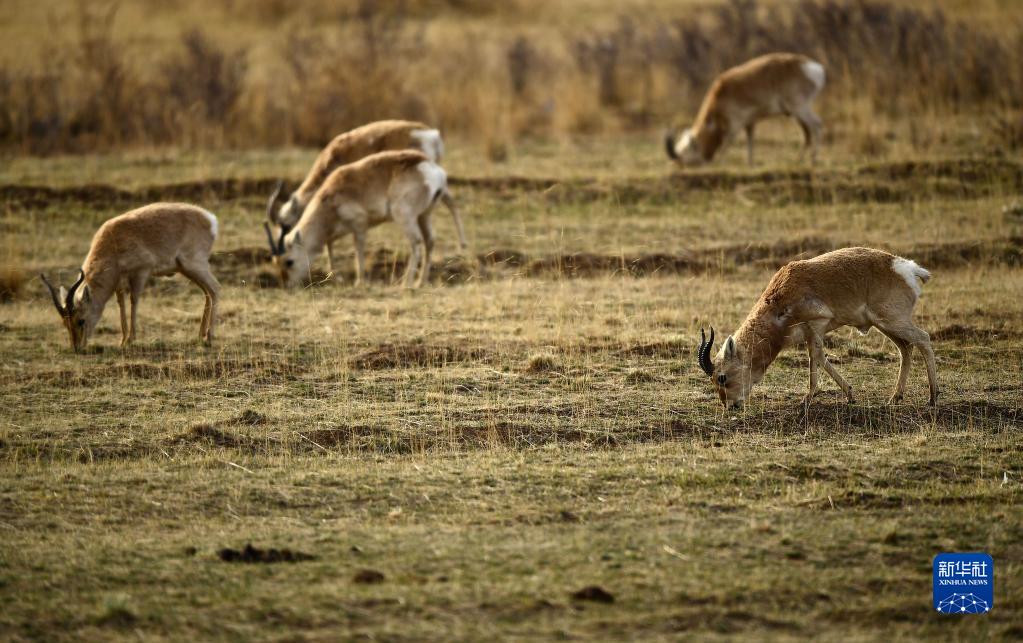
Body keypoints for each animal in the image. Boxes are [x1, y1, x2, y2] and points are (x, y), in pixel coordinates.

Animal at [40, 203, 221, 352]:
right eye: (65, 323)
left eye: (81, 320)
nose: (76, 348)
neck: (113, 241)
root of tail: (209, 219)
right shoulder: (119, 282)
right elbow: (122, 305)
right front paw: (122, 340)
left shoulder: (140, 272)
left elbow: (134, 301)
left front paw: (130, 340)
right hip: (188, 270)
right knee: (207, 293)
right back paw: (200, 335)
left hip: (194, 266)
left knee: (215, 289)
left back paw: (208, 338)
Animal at [665, 52, 825, 167]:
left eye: (684, 153)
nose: (677, 164)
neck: (721, 91)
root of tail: (814, 68)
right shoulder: (750, 123)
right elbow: (750, 141)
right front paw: (750, 163)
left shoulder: (735, 124)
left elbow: (728, 141)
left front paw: (720, 163)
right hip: (795, 114)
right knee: (807, 134)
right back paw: (798, 160)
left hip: (800, 109)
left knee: (817, 125)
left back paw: (813, 160)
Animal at [695, 247, 938, 410]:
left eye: (721, 377)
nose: (730, 406)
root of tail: (906, 268)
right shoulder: (810, 333)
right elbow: (820, 358)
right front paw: (850, 395)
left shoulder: (816, 326)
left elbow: (816, 358)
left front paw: (807, 399)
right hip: (885, 325)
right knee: (906, 349)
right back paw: (895, 397)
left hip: (893, 321)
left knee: (923, 339)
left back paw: (933, 398)